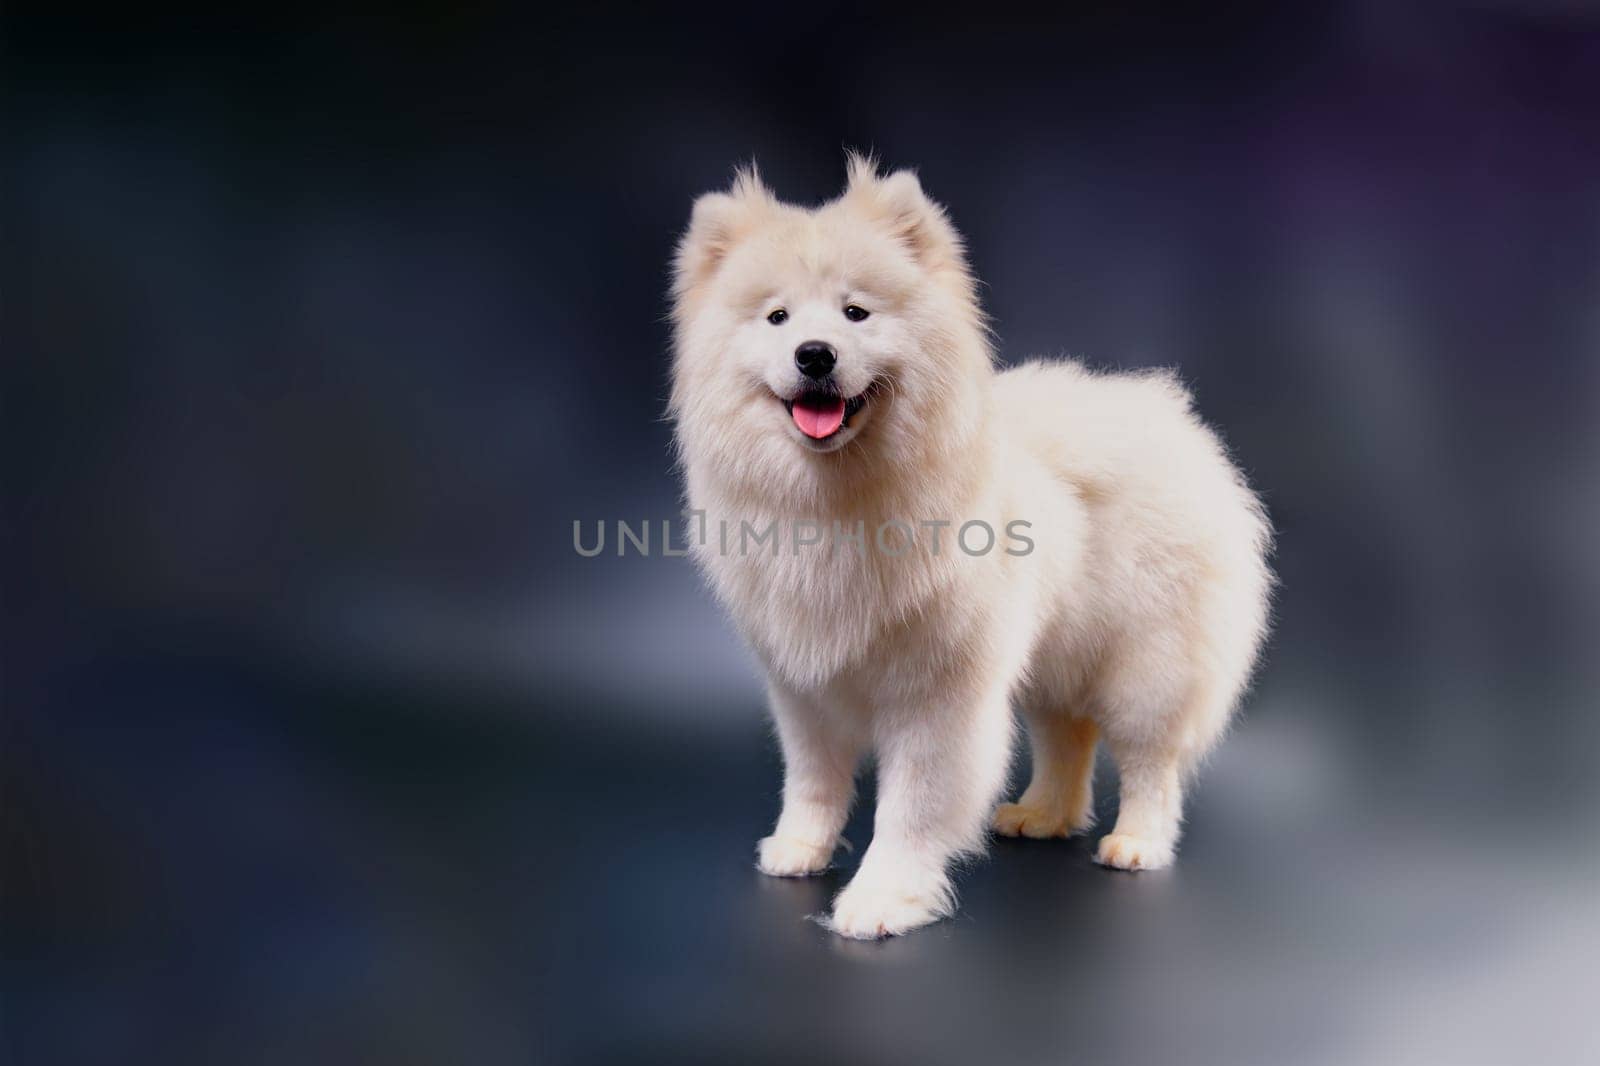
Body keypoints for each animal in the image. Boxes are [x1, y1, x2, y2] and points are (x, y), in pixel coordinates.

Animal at [668, 153, 1267, 934]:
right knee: (1067, 738)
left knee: (1149, 762)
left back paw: (1135, 842)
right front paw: (799, 850)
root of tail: (1170, 417)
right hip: (1053, 659)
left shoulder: (938, 695)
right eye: (777, 317)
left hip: (1149, 668)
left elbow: (911, 808)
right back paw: (1042, 815)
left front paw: (880, 899)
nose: (814, 354)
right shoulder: (805, 687)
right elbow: (813, 781)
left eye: (856, 312)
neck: (837, 502)